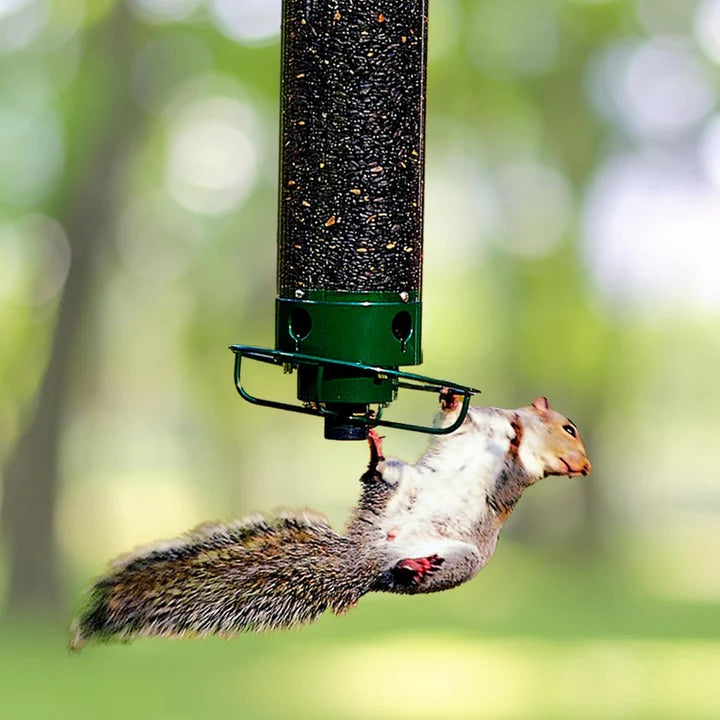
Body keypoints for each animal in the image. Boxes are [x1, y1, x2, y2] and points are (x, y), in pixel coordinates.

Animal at [69, 394, 590, 651]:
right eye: (569, 427)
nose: (582, 466)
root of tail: (367, 557)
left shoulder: (515, 476)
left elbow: (515, 466)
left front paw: (519, 440)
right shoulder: (473, 422)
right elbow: (455, 415)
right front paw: (494, 418)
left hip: (459, 561)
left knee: (403, 575)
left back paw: (415, 567)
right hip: (397, 489)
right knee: (379, 478)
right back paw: (376, 454)